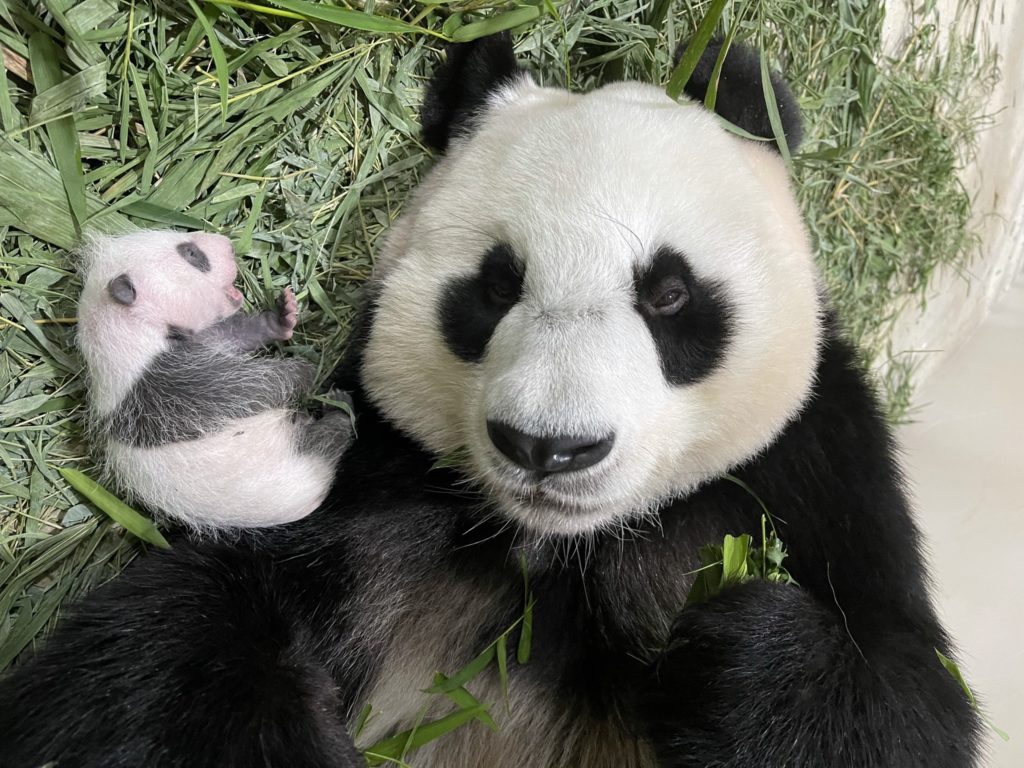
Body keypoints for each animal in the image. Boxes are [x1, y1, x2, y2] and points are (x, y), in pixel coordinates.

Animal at [0, 33, 978, 765]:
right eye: (496, 286)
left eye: (668, 294)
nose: (548, 447)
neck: (551, 546)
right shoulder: (375, 490)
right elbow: (172, 646)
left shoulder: (812, 468)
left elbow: (902, 687)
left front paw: (732, 645)